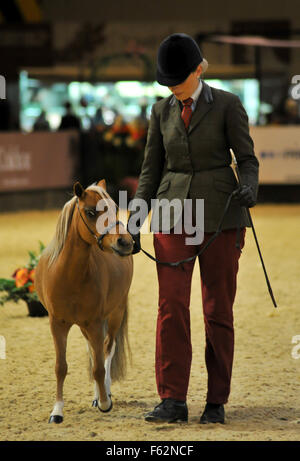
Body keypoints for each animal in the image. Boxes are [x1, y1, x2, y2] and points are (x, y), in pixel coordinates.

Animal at [34, 178, 134, 422]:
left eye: (115, 208)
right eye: (90, 212)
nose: (125, 242)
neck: (69, 275)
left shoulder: (96, 323)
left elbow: (99, 367)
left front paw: (105, 403)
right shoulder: (57, 324)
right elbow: (61, 367)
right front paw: (57, 411)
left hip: (114, 315)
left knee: (107, 350)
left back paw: (104, 394)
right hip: (83, 326)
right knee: (93, 351)